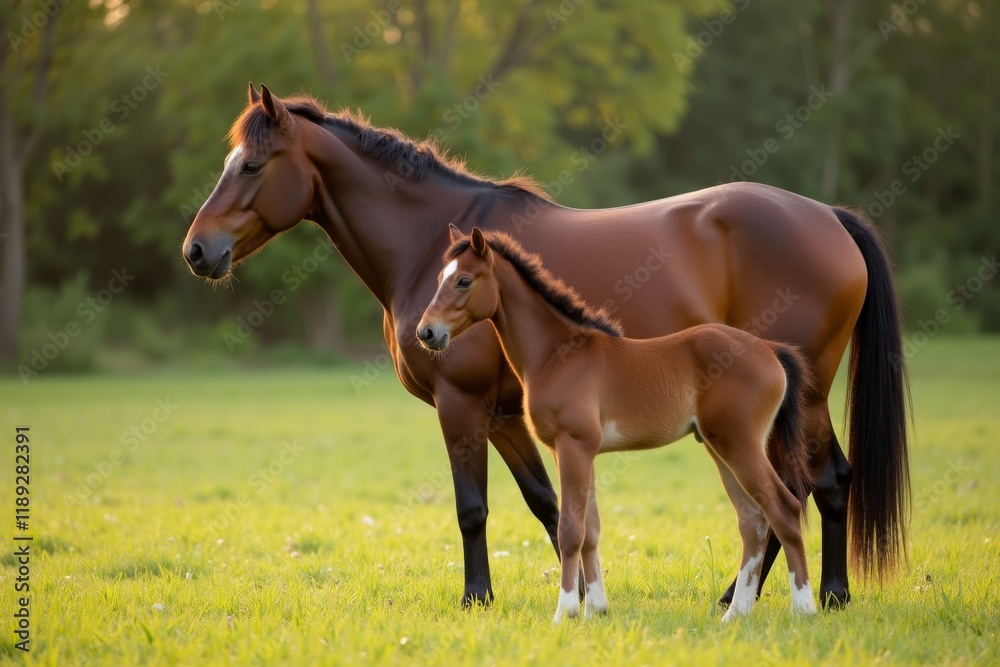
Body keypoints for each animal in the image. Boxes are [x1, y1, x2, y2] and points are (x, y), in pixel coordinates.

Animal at [416, 225, 818, 622]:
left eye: (464, 281)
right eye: (438, 279)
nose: (426, 333)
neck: (557, 355)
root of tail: (770, 350)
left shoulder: (574, 444)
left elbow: (571, 529)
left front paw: (565, 612)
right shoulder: (578, 451)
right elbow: (591, 529)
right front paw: (596, 609)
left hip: (740, 444)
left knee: (783, 509)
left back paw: (804, 608)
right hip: (720, 446)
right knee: (753, 520)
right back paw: (736, 614)